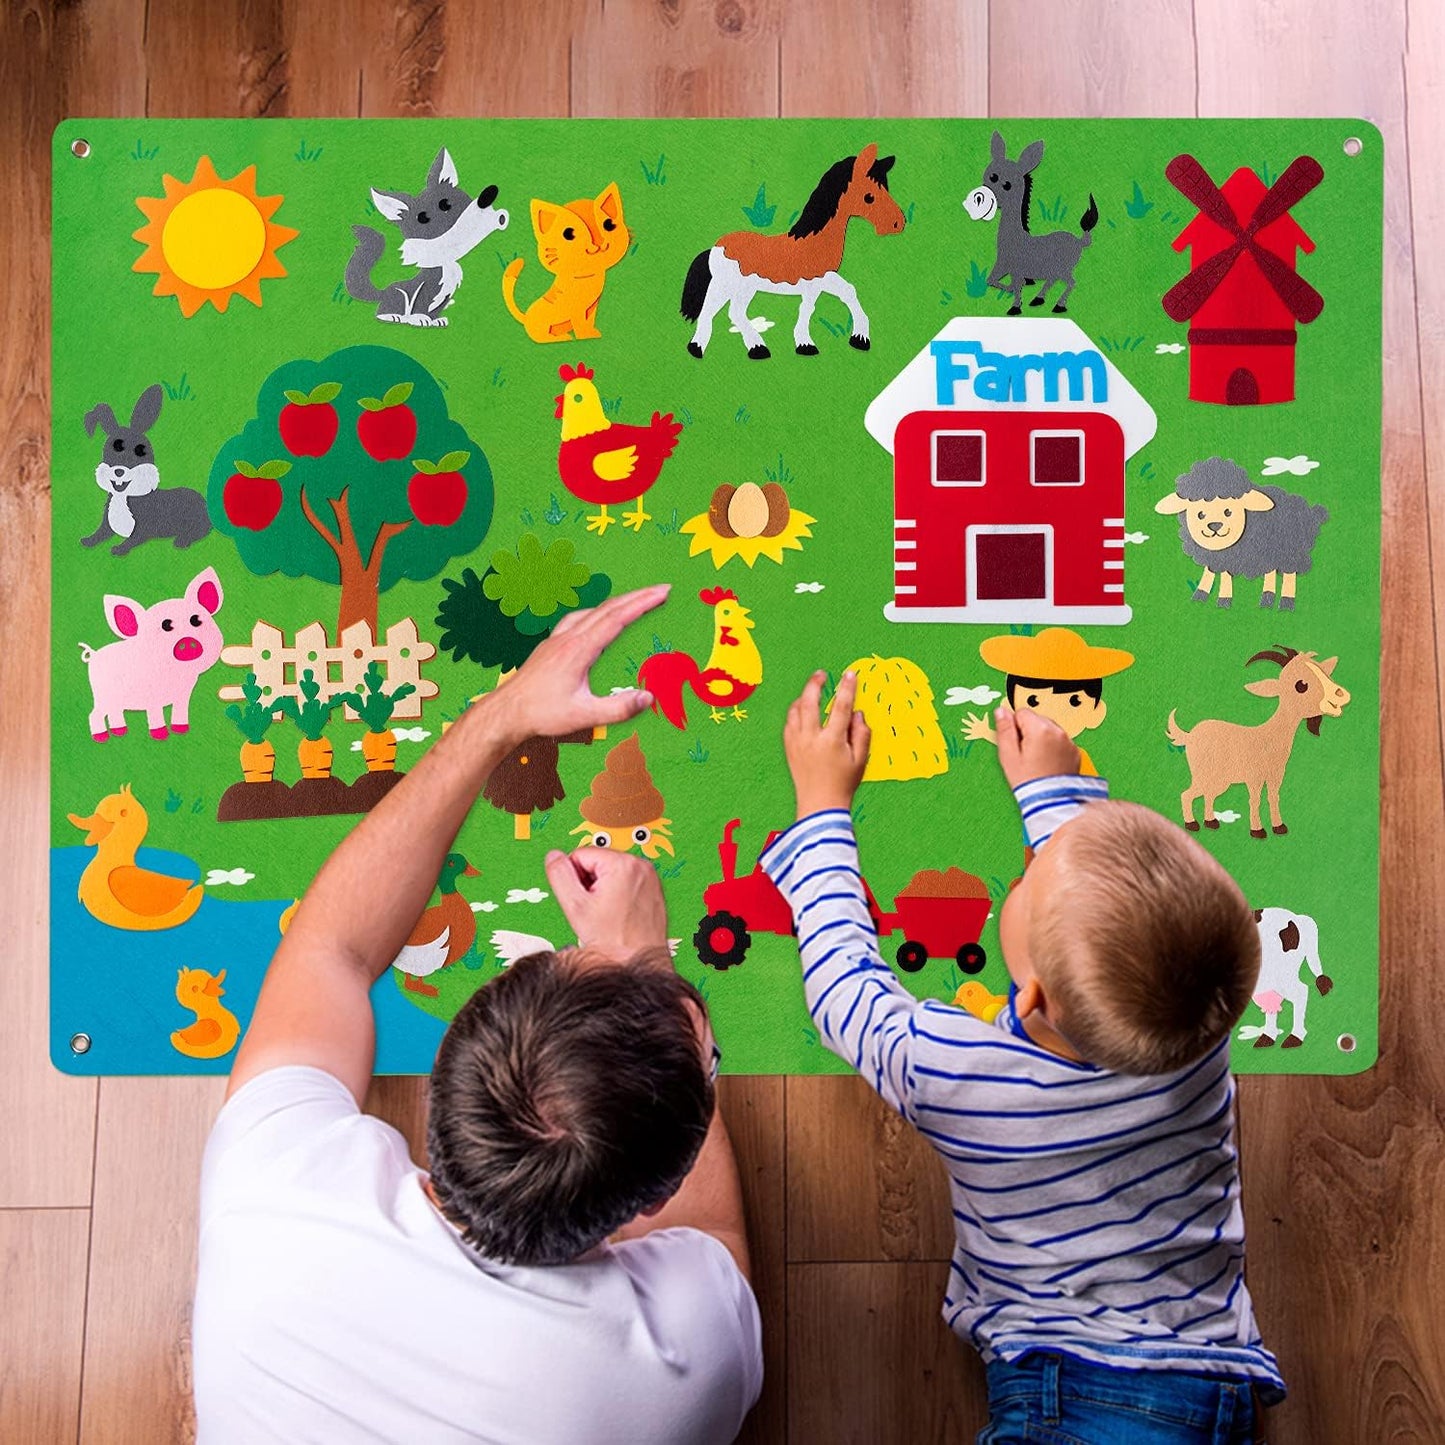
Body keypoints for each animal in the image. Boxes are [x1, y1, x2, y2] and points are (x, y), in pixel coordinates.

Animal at [79, 566, 222, 739]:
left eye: (195, 620)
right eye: (165, 625)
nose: (187, 641)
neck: (175, 674)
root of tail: (93, 655)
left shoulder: (183, 695)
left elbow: (180, 711)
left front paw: (180, 730)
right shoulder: (151, 696)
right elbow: (155, 714)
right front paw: (160, 735)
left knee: (114, 711)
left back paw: (120, 732)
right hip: (102, 694)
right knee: (94, 714)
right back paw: (102, 737)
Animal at [83, 384, 210, 551]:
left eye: (140, 450)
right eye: (115, 446)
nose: (119, 471)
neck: (123, 496)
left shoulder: (143, 529)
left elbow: (132, 540)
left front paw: (118, 549)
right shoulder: (107, 524)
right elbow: (99, 533)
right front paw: (87, 541)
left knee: (198, 532)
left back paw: (181, 541)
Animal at [679, 144, 901, 361]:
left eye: (888, 188)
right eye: (869, 197)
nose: (898, 224)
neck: (815, 239)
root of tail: (716, 246)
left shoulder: (824, 277)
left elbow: (848, 292)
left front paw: (860, 339)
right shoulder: (814, 281)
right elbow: (808, 309)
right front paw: (806, 345)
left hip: (737, 287)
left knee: (722, 311)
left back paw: (724, 348)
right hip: (730, 285)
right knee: (721, 312)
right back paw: (737, 348)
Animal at [1156, 453, 1323, 606]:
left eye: (1228, 512)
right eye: (1200, 514)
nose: (1215, 525)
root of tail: (1312, 512)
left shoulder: (1229, 559)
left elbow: (1224, 577)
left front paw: (1223, 600)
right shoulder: (1214, 557)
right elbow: (1208, 574)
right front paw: (1200, 596)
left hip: (1292, 554)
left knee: (1290, 575)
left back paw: (1285, 603)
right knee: (1271, 572)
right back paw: (1267, 600)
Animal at [1167, 650, 1346, 843]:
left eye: (1323, 671)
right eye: (1301, 685)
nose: (1340, 694)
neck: (1269, 736)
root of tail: (1189, 735)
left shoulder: (1276, 776)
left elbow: (1273, 797)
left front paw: (1279, 827)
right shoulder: (1254, 777)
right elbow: (1255, 800)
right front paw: (1258, 831)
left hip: (1220, 780)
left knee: (1208, 795)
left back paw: (1211, 822)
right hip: (1203, 774)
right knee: (1186, 794)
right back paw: (1192, 824)